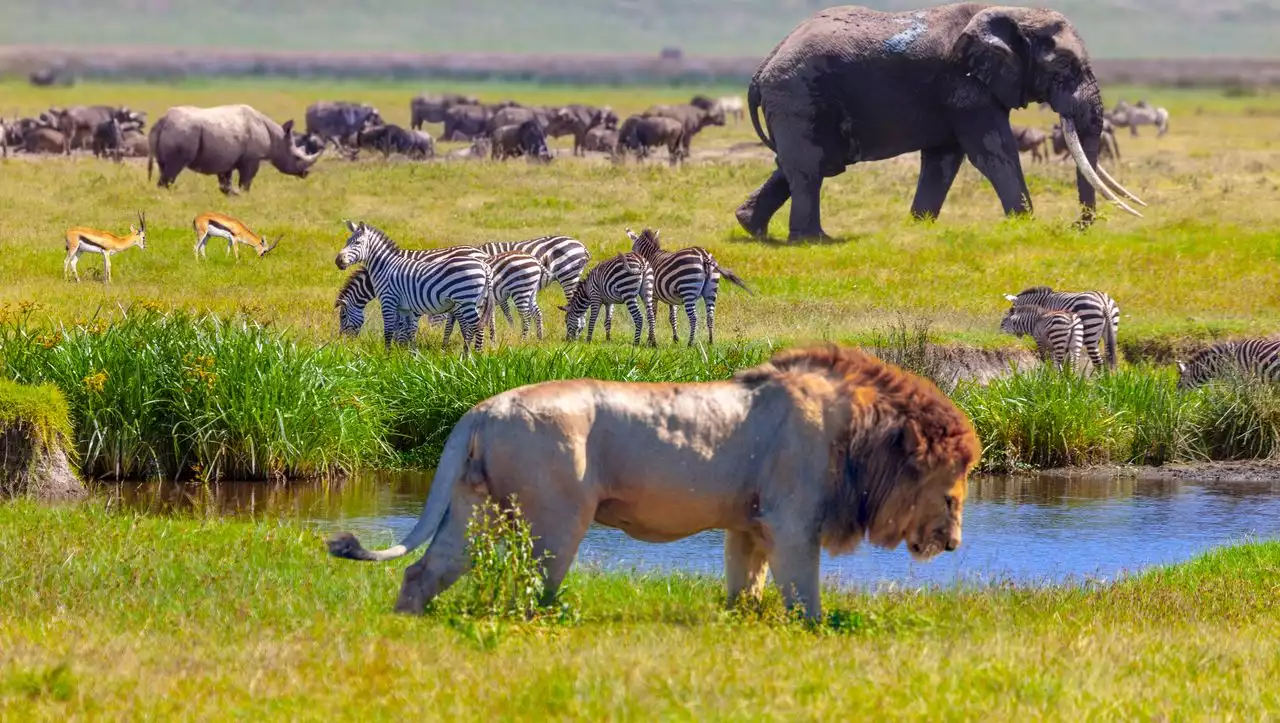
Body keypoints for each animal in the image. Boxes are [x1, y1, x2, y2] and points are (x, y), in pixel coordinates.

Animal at [146, 103, 322, 194]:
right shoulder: (252, 158)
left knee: (163, 166)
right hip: (183, 131)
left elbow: (226, 183)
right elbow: (246, 181)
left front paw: (232, 195)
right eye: (297, 157)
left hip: (172, 131)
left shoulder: (226, 158)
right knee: (174, 167)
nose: (306, 173)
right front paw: (243, 195)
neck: (277, 138)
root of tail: (163, 120)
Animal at [330, 345, 977, 619]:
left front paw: (741, 624)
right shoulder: (793, 523)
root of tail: (481, 409)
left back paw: (408, 623)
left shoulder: (750, 525)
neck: (860, 433)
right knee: (531, 589)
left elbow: (746, 586)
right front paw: (813, 632)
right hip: (556, 518)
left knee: (424, 570)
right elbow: (804, 596)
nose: (954, 545)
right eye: (953, 487)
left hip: (476, 508)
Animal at [737, 2, 1146, 239]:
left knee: (806, 164)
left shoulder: (957, 95)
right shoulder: (965, 86)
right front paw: (1025, 226)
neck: (1011, 12)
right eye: (1064, 65)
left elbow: (944, 159)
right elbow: (993, 152)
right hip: (797, 95)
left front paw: (917, 228)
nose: (1079, 226)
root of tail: (761, 69)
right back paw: (813, 241)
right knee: (810, 168)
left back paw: (752, 228)